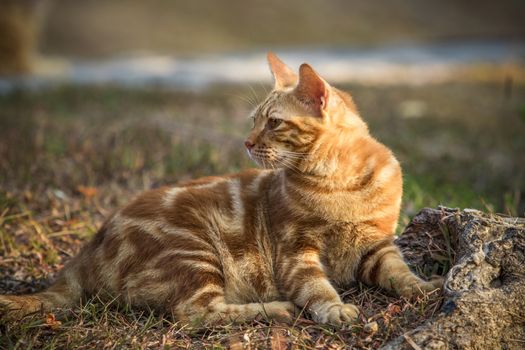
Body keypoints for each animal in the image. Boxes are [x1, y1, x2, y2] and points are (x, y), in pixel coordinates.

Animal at [0, 52, 442, 326]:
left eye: (273, 122)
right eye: (254, 120)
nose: (245, 142)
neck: (340, 186)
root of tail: (85, 251)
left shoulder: (377, 246)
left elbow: (401, 273)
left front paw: (426, 288)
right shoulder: (295, 254)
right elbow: (317, 288)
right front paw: (335, 309)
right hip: (195, 252)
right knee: (195, 314)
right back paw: (276, 308)